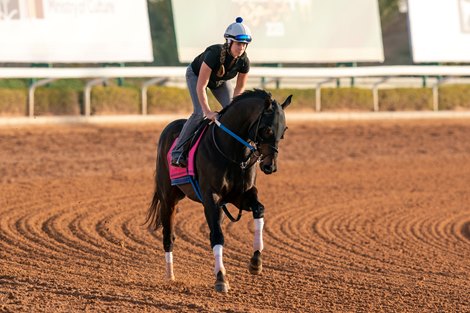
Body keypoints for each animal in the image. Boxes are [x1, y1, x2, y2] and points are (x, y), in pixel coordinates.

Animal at [145, 89, 292, 292]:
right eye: (268, 129)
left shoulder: (240, 195)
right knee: (169, 236)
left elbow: (259, 210)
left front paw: (256, 261)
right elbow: (217, 235)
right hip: (168, 198)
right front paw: (221, 278)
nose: (271, 166)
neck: (232, 152)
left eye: (283, 131)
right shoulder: (211, 197)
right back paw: (170, 276)